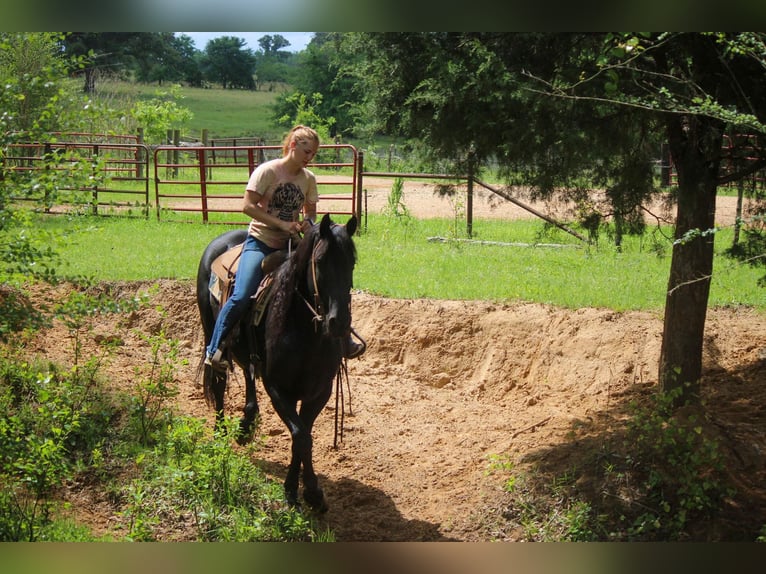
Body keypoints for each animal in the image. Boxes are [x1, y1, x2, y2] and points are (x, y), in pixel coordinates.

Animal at [195, 214, 356, 510]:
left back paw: (246, 424)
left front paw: (311, 491)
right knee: (219, 383)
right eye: (319, 261)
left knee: (248, 372)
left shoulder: (320, 392)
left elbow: (305, 436)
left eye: (351, 262)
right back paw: (221, 435)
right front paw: (295, 493)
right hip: (211, 330)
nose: (338, 323)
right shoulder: (279, 390)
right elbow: (301, 437)